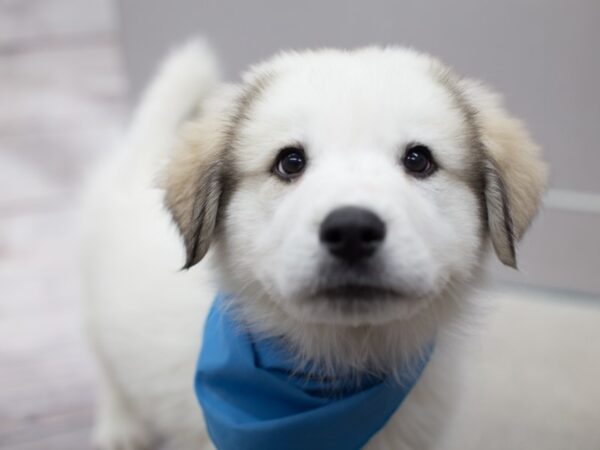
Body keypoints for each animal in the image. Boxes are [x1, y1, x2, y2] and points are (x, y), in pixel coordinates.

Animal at [83, 39, 548, 450]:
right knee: (106, 369)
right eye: (290, 162)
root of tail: (143, 150)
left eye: (419, 160)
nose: (352, 231)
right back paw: (119, 426)